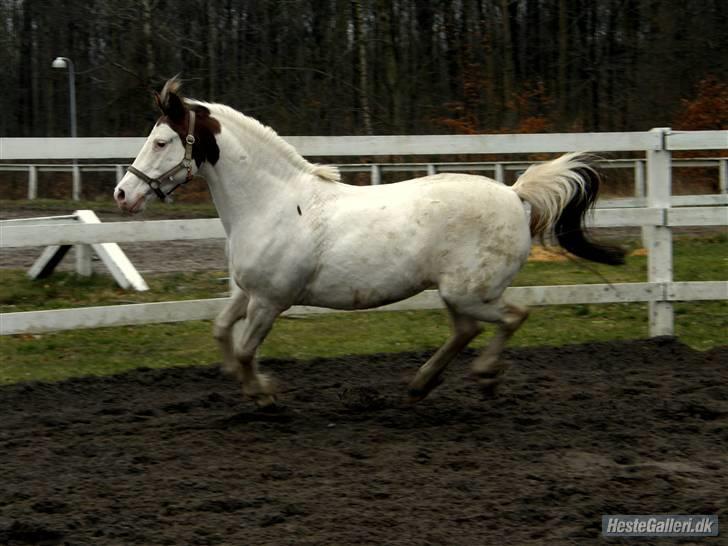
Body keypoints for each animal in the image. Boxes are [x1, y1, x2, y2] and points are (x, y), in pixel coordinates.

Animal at [115, 78, 624, 406]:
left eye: (161, 141)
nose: (123, 193)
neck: (272, 204)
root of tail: (516, 195)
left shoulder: (270, 300)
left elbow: (243, 349)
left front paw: (264, 392)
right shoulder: (248, 292)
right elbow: (222, 332)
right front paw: (243, 382)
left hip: (470, 291)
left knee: (513, 317)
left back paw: (483, 377)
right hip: (458, 293)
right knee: (467, 330)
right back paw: (421, 385)